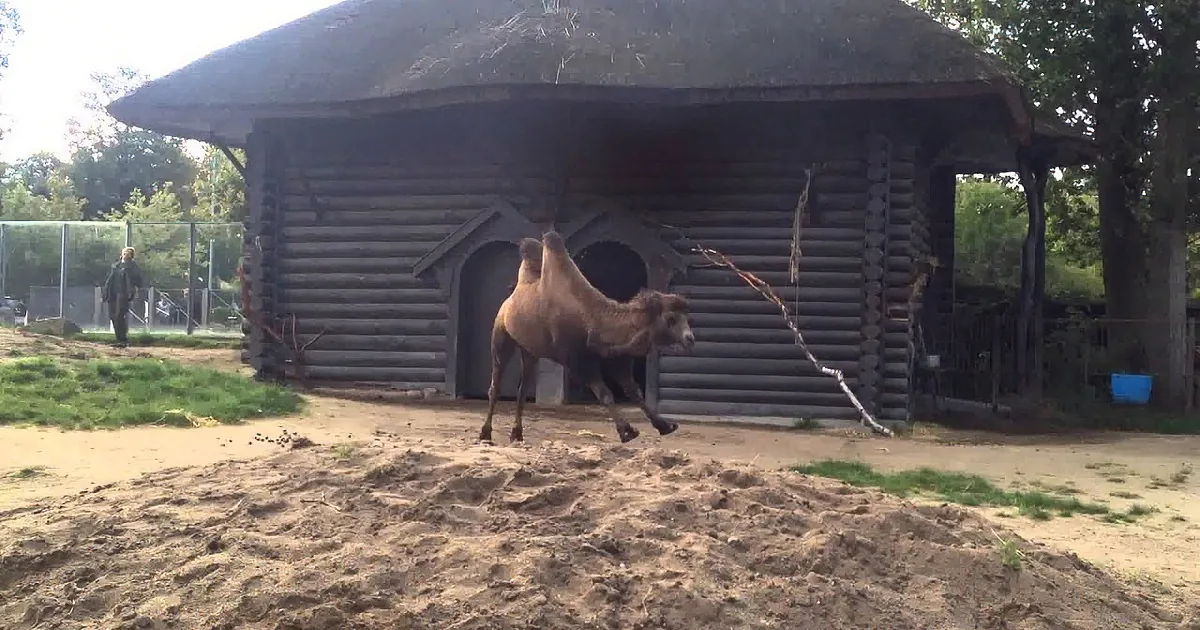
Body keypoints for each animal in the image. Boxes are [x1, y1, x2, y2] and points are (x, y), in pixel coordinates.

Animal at [478, 230, 695, 444]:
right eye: (670, 318)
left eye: (686, 315)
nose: (690, 338)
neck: (594, 321)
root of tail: (508, 302)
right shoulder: (578, 361)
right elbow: (605, 393)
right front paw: (627, 432)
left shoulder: (615, 357)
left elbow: (634, 391)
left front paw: (665, 425)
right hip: (501, 334)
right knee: (496, 384)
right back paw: (485, 435)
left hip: (529, 349)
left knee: (522, 389)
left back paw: (517, 434)